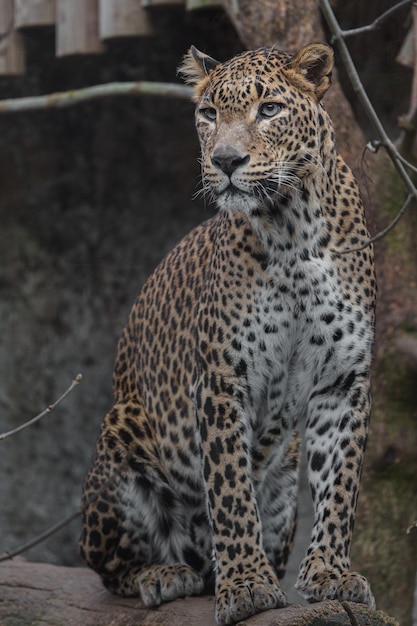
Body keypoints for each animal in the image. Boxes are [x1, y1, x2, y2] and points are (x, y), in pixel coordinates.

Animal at [79, 41, 376, 620]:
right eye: (209, 114)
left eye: (270, 110)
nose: (226, 161)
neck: (292, 228)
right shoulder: (222, 379)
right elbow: (230, 489)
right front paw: (246, 585)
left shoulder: (343, 380)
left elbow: (340, 485)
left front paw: (331, 573)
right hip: (119, 436)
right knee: (108, 567)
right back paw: (166, 573)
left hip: (282, 484)